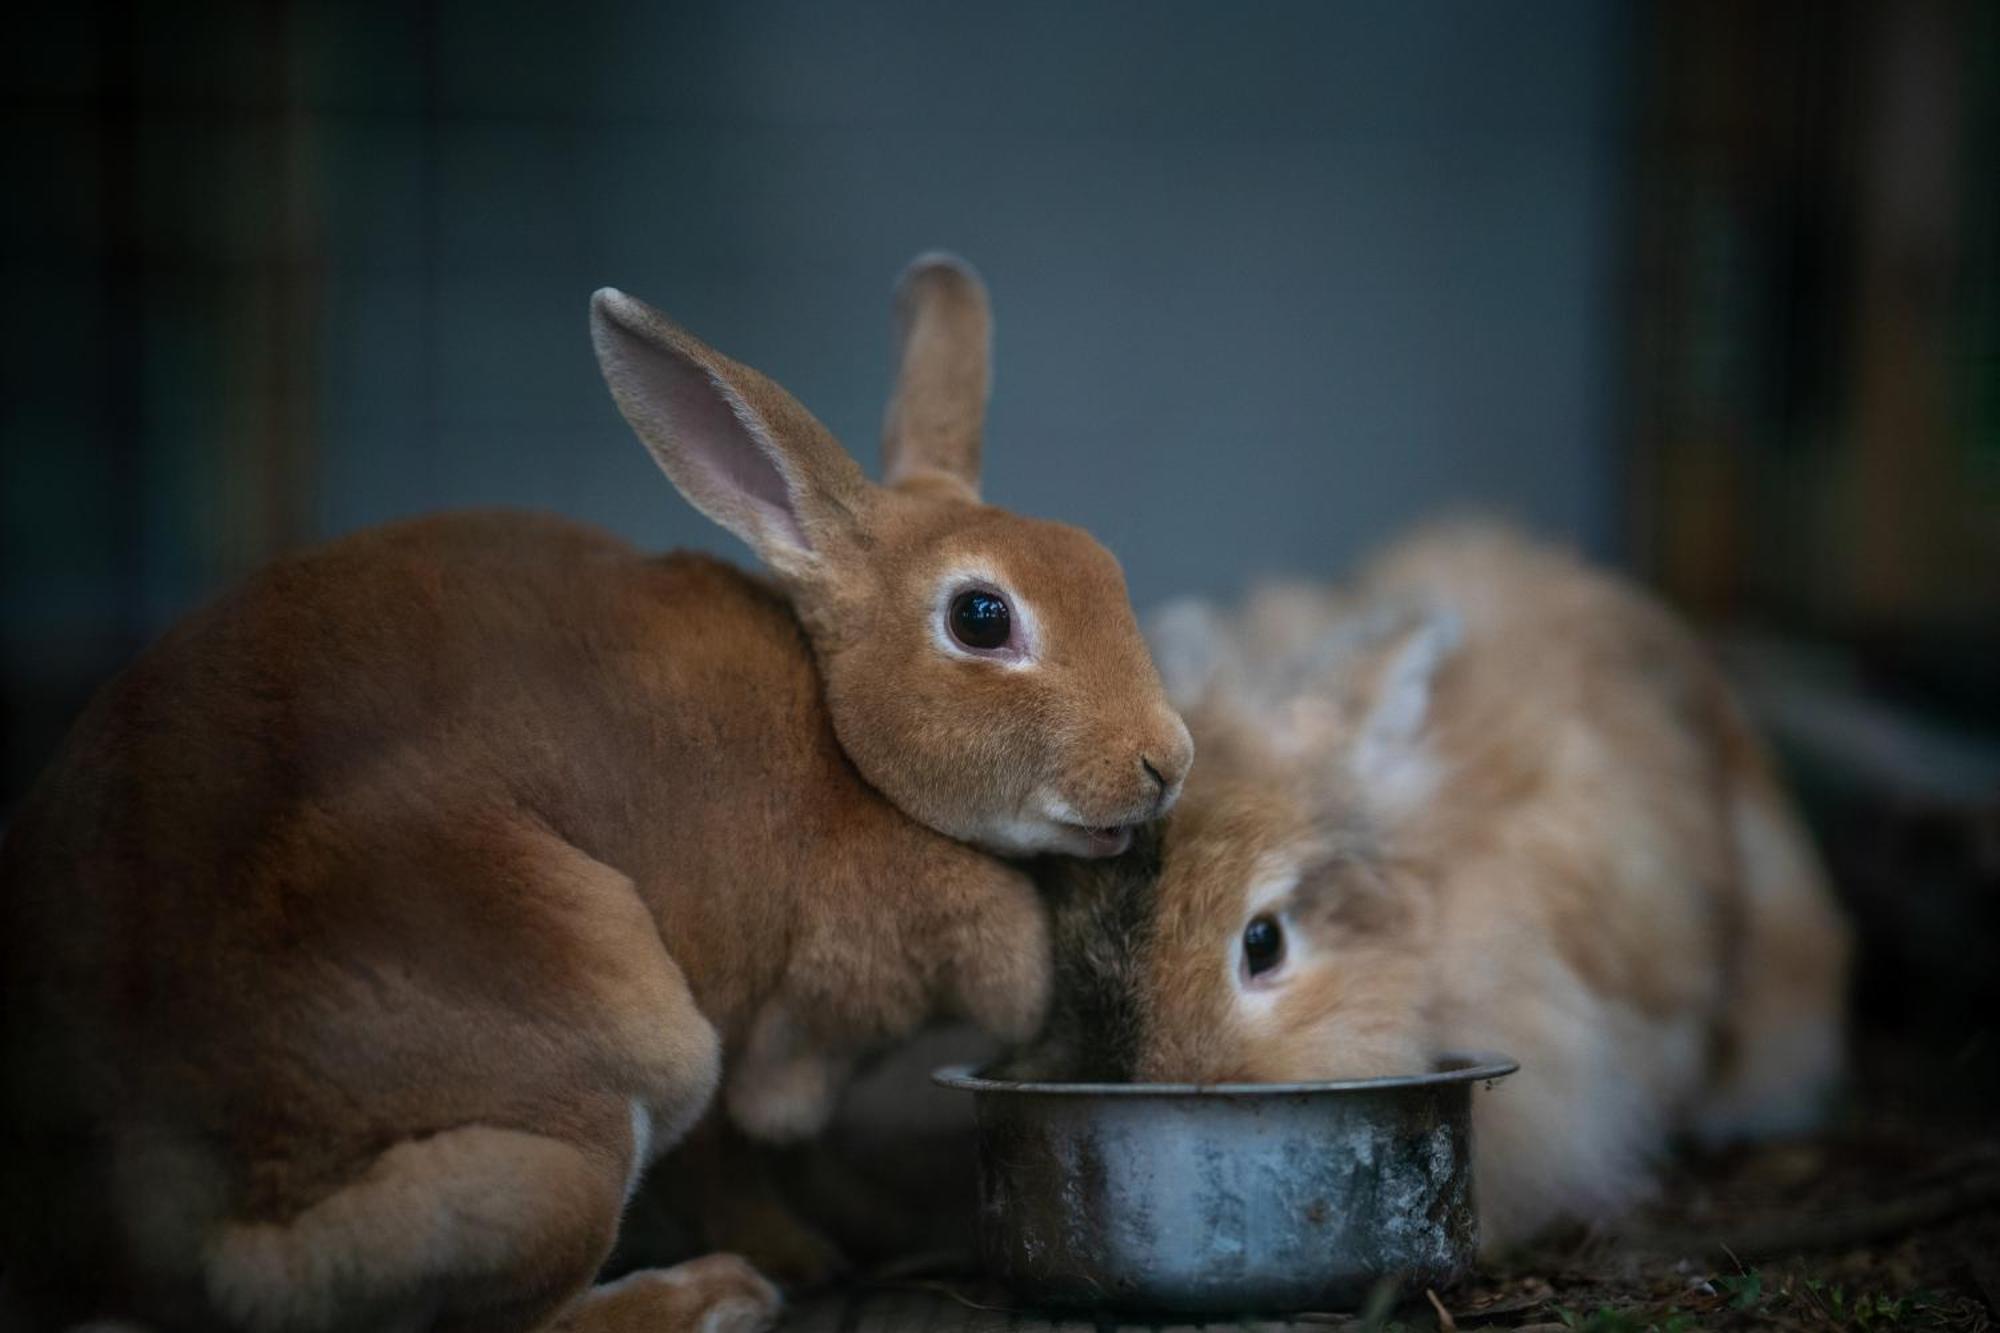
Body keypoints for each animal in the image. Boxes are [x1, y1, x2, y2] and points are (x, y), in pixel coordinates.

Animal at [0, 256, 1184, 1328]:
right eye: (981, 618)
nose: (1163, 763)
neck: (843, 744)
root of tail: (144, 1226)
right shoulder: (761, 1018)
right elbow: (740, 1151)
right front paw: (800, 1254)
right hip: (593, 1099)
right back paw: (708, 1295)